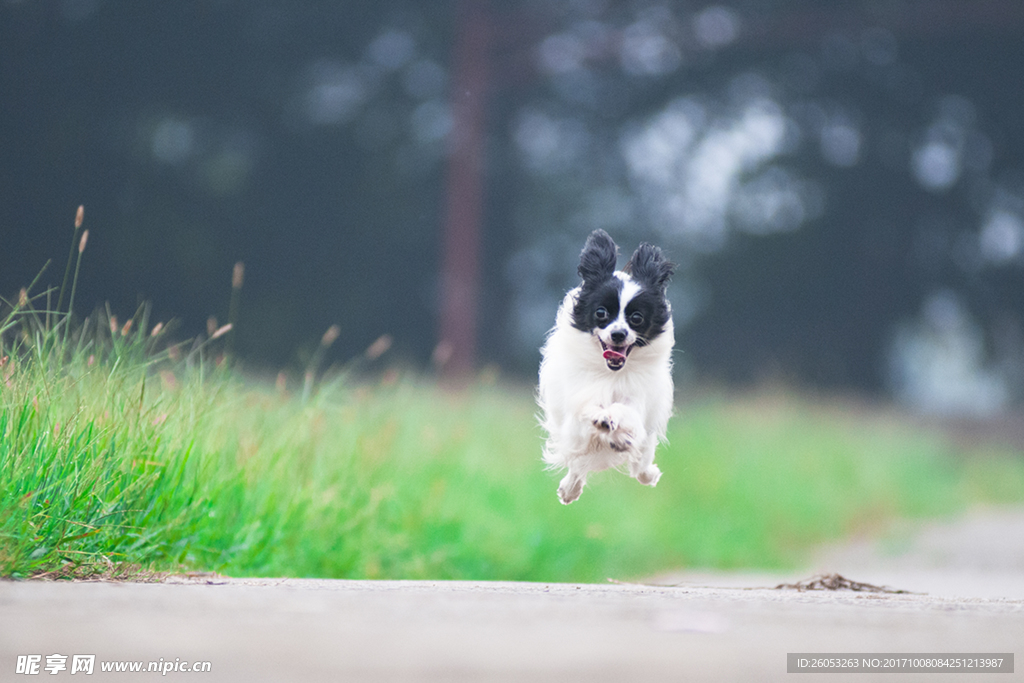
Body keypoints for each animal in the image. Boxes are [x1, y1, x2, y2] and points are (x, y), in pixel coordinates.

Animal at [536, 232, 671, 505]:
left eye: (637, 318)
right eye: (601, 313)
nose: (618, 334)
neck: (611, 373)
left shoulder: (637, 406)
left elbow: (625, 413)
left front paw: (615, 426)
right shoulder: (576, 412)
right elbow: (587, 411)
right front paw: (601, 418)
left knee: (641, 460)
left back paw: (647, 473)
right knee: (577, 463)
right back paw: (570, 489)